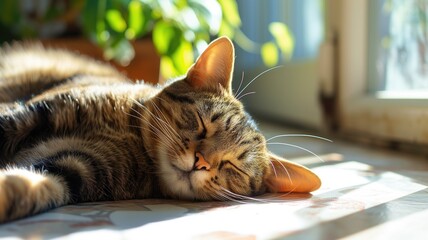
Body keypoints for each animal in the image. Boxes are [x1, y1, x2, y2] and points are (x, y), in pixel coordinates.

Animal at [0, 37, 320, 223]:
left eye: (233, 166)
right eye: (203, 124)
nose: (201, 162)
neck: (130, 136)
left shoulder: (79, 167)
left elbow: (36, 186)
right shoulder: (35, 113)